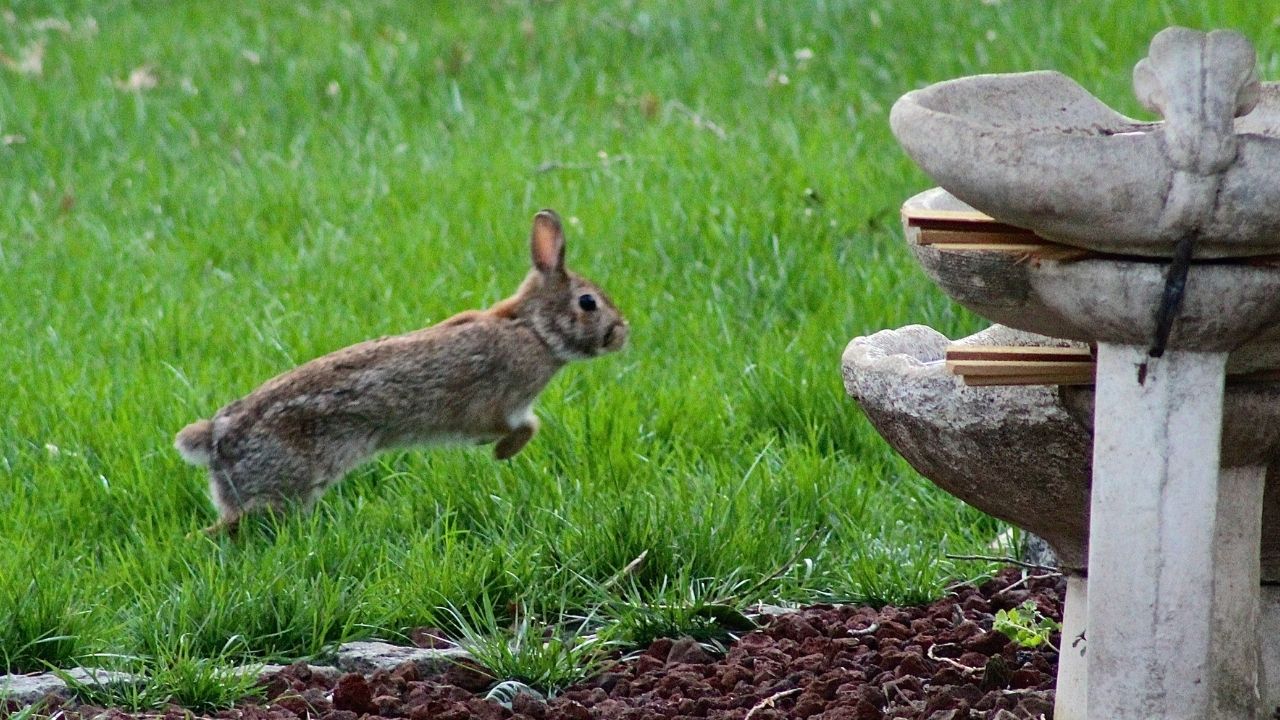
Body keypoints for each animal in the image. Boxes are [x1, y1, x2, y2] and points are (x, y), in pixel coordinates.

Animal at [170, 207, 629, 532]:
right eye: (588, 302)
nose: (622, 333)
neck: (533, 330)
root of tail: (214, 439)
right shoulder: (497, 406)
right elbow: (526, 427)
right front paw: (501, 452)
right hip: (282, 486)